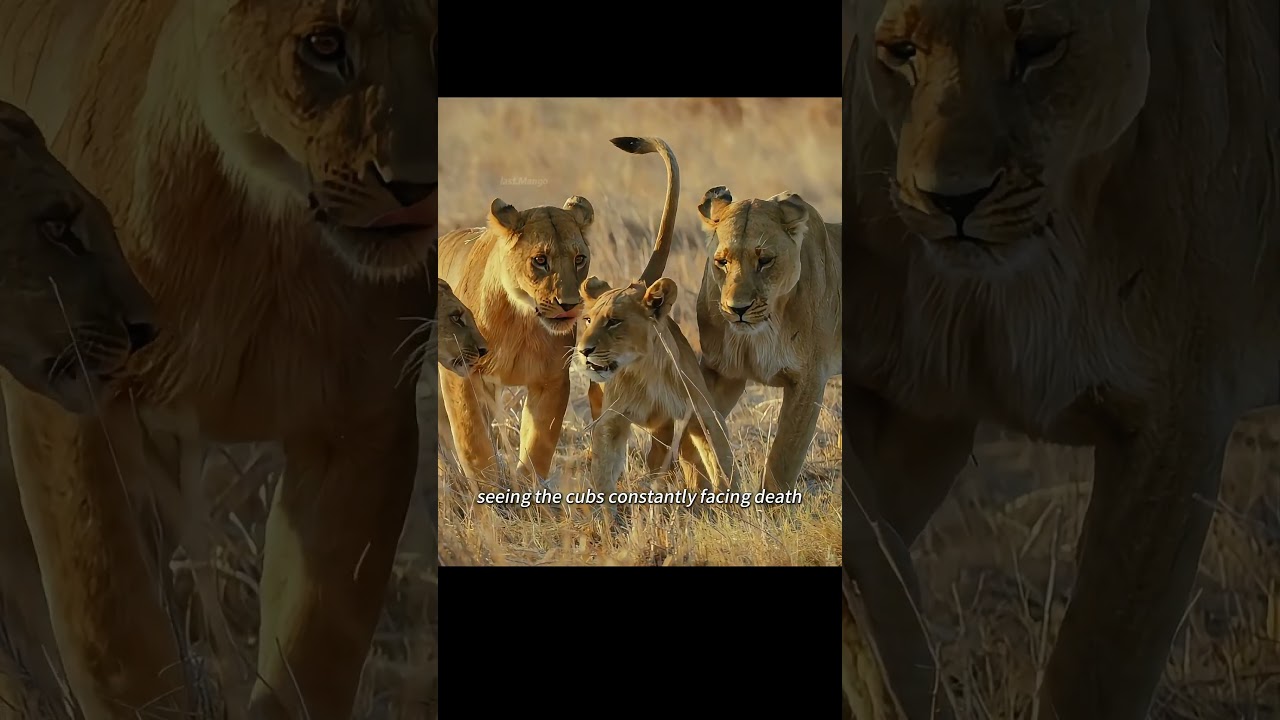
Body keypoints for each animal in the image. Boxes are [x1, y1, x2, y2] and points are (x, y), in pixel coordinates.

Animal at [0, 2, 436, 718]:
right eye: (324, 46)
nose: (417, 188)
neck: (262, 234)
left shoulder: (363, 424)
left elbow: (314, 654)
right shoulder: (71, 396)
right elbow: (115, 639)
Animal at [438, 136, 679, 494]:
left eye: (580, 259)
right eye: (540, 260)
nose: (569, 304)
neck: (520, 320)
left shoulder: (551, 379)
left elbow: (539, 443)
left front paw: (528, 490)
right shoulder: (460, 373)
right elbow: (473, 441)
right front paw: (487, 491)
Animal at [576, 276, 738, 510]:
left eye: (614, 321)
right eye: (588, 320)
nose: (583, 350)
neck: (644, 370)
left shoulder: (704, 415)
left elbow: (721, 461)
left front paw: (733, 505)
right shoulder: (611, 421)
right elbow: (604, 470)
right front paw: (606, 514)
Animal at [677, 188, 842, 493]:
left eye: (765, 260)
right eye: (722, 262)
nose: (738, 309)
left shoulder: (809, 378)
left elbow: (784, 456)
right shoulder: (723, 371)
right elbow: (703, 425)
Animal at [843, 0, 1280, 717]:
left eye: (1039, 48)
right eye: (902, 52)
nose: (952, 201)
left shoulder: (1179, 419)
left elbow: (1100, 661)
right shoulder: (905, 400)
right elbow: (871, 571)